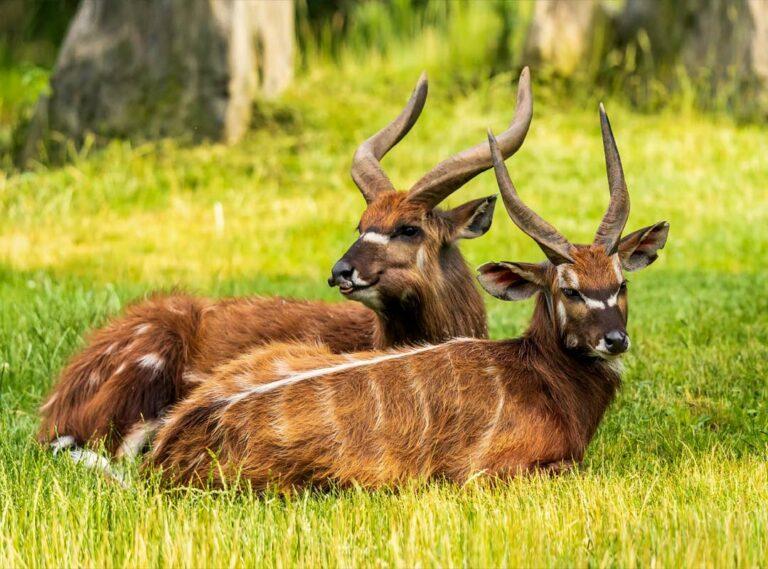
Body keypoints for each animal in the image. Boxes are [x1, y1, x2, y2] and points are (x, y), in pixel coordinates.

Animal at [147, 104, 669, 489]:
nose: (615, 340)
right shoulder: (491, 472)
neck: (538, 375)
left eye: (621, 283)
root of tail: (167, 448)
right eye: (568, 288)